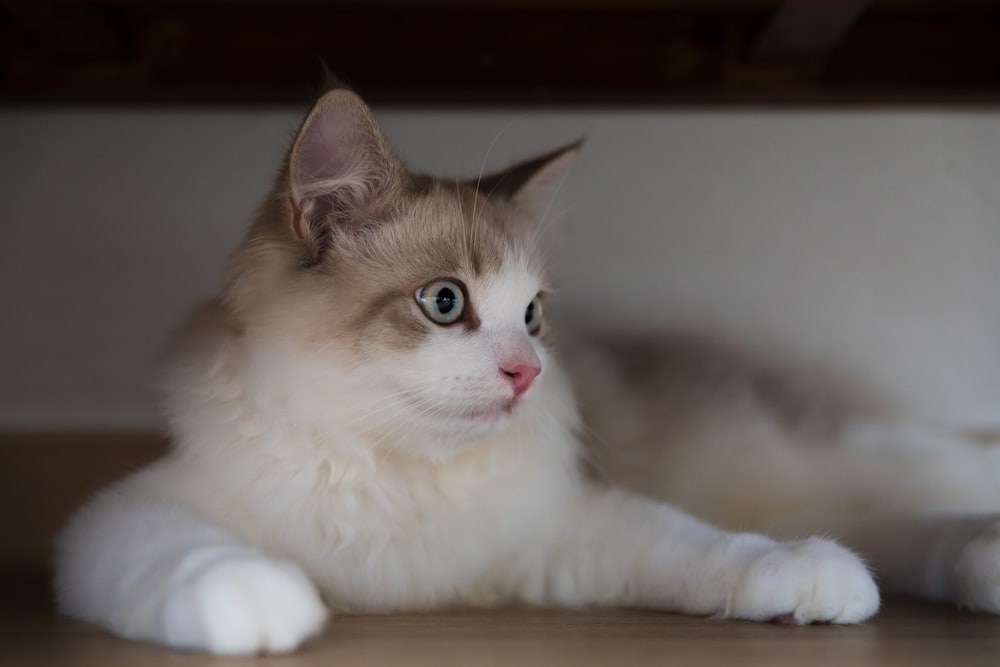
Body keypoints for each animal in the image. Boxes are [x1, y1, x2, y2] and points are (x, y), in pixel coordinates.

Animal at [52, 83, 992, 656]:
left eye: (534, 315)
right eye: (443, 302)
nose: (527, 373)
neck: (400, 475)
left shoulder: (569, 521)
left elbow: (705, 544)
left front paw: (803, 572)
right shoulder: (127, 516)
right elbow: (194, 554)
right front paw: (256, 600)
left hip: (790, 457)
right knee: (893, 518)